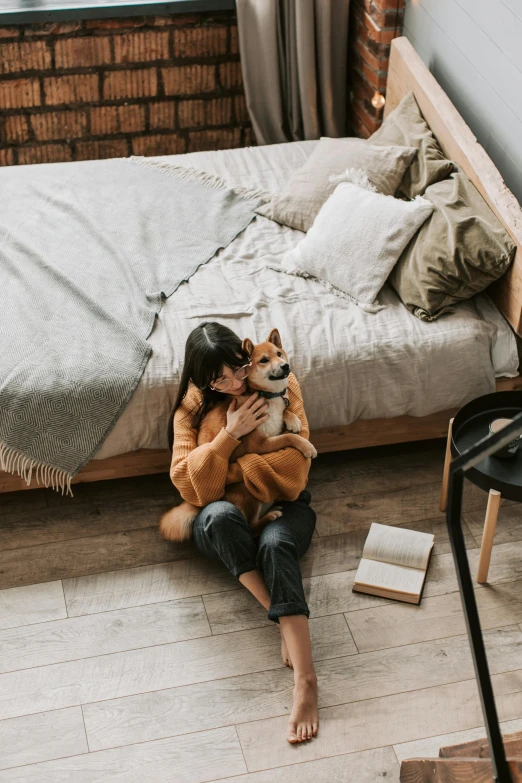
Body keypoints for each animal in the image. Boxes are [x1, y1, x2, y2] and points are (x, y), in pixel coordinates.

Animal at [158, 328, 314, 544]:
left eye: (279, 354)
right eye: (264, 360)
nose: (285, 366)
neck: (266, 396)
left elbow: (286, 411)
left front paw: (292, 419)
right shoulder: (258, 444)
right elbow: (288, 438)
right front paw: (307, 447)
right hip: (247, 490)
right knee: (252, 526)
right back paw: (270, 516)